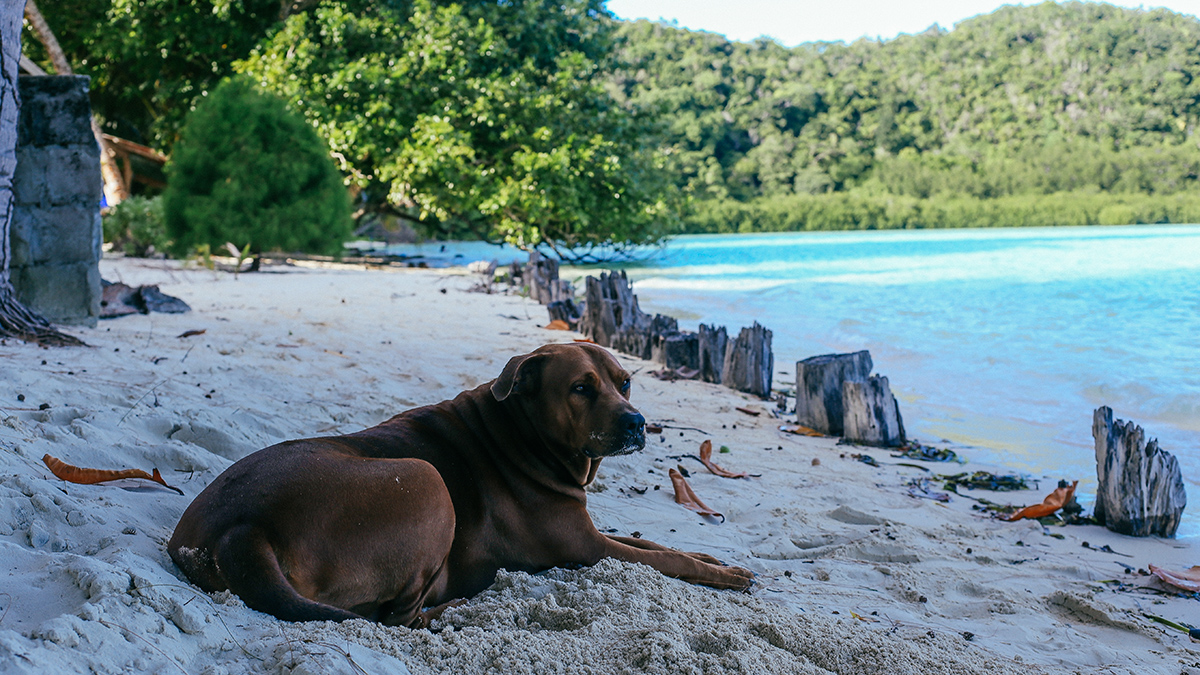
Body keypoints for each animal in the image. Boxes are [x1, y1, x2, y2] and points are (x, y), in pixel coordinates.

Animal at [169, 341, 748, 624]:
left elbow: (652, 545)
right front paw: (723, 574)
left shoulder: (593, 534)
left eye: (624, 383)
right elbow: (662, 559)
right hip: (425, 480)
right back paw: (460, 609)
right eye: (581, 388)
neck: (522, 432)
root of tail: (239, 531)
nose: (637, 423)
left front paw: (712, 557)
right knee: (398, 618)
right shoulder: (585, 547)